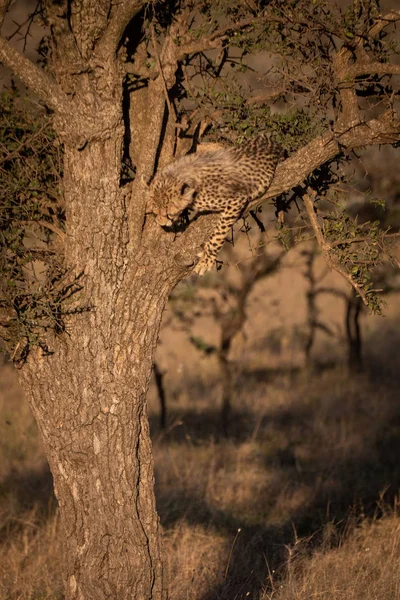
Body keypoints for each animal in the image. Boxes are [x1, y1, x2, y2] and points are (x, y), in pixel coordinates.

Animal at [146, 135, 282, 276]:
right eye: (155, 213)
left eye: (169, 214)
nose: (162, 224)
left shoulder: (236, 199)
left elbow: (218, 233)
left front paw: (207, 260)